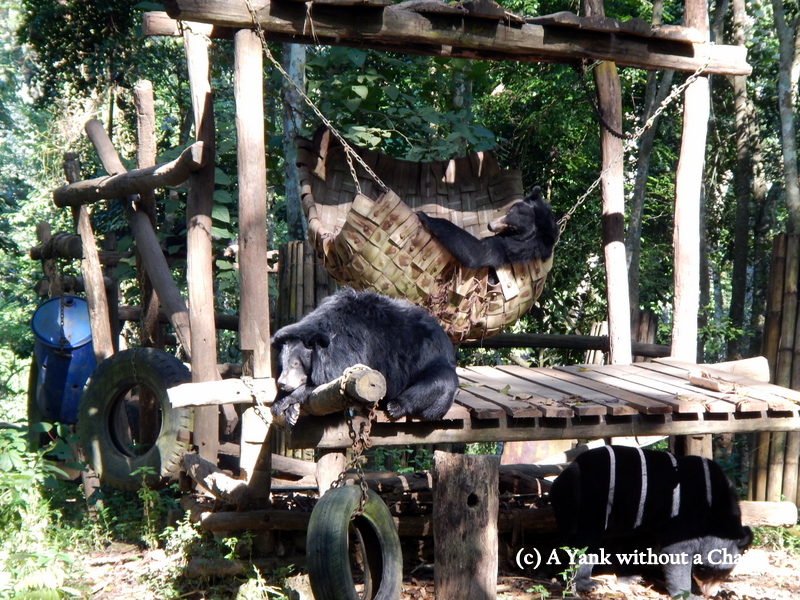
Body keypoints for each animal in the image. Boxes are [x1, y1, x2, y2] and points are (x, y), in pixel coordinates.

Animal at [270, 287, 459, 426]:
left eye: (296, 363)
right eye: (283, 363)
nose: (282, 383)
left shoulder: (351, 347)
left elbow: (329, 382)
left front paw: (283, 403)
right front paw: (290, 409)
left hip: (434, 364)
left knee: (439, 382)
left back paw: (395, 406)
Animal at [416, 185, 557, 270]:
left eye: (512, 228)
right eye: (509, 211)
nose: (490, 225)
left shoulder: (515, 247)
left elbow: (481, 251)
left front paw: (425, 216)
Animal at [548, 445, 752, 599]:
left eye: (724, 573)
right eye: (706, 569)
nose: (710, 593)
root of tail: (563, 475)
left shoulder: (647, 516)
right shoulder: (683, 512)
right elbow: (676, 551)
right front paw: (687, 593)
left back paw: (630, 577)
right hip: (588, 501)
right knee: (587, 541)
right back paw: (587, 583)